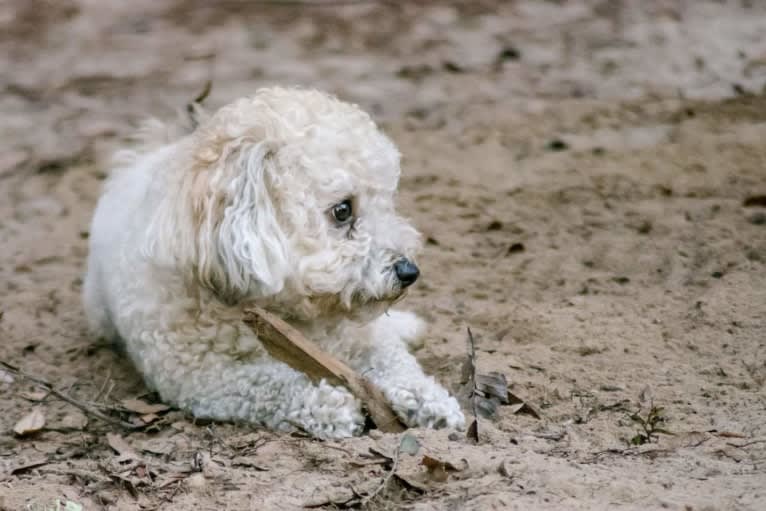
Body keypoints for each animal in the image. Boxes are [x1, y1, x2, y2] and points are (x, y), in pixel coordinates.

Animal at [84, 88, 468, 440]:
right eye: (343, 210)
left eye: (387, 202)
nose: (409, 272)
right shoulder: (200, 376)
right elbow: (269, 383)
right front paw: (328, 405)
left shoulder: (364, 339)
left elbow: (395, 360)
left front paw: (429, 399)